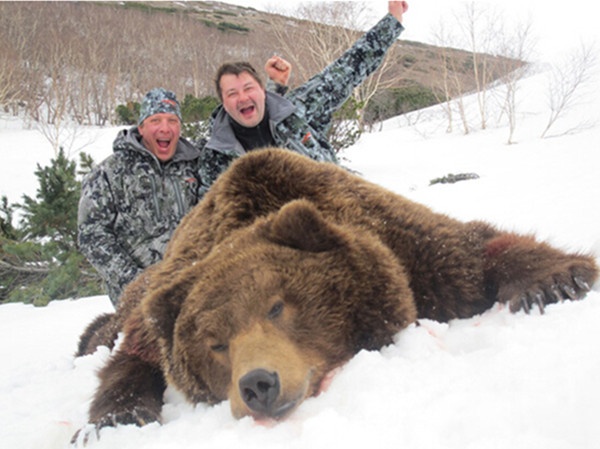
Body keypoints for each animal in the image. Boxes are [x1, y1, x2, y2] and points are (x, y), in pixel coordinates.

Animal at [75, 147, 596, 438]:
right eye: (215, 344)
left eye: (277, 305)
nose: (257, 384)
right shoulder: (159, 315)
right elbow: (130, 364)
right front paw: (114, 420)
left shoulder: (405, 245)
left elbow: (473, 249)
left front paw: (555, 280)